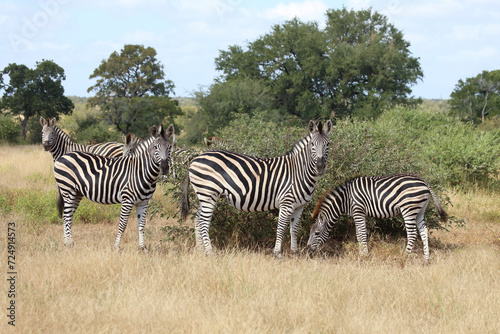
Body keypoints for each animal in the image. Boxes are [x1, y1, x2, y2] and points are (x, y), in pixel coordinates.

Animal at [181, 120, 332, 256]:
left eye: (328, 144)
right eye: (312, 144)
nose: (320, 167)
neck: (299, 172)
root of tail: (195, 159)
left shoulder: (299, 206)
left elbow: (294, 230)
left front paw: (295, 253)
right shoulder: (286, 203)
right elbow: (281, 228)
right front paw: (277, 253)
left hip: (205, 195)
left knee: (197, 218)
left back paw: (200, 251)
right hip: (208, 193)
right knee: (203, 221)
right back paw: (210, 252)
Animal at [306, 174, 448, 262]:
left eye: (317, 233)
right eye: (310, 232)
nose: (308, 249)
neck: (345, 199)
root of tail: (424, 182)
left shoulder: (358, 210)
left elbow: (361, 234)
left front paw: (363, 256)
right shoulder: (358, 213)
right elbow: (359, 234)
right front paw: (362, 254)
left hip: (409, 208)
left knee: (412, 233)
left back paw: (404, 256)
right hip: (420, 210)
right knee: (424, 231)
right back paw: (426, 259)